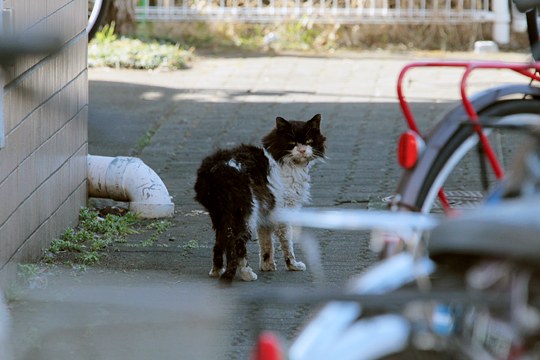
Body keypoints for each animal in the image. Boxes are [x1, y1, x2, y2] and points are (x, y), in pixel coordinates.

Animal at [195, 114, 326, 282]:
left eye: (309, 141)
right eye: (292, 143)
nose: (303, 150)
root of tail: (216, 168)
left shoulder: (266, 213)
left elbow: (266, 242)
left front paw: (267, 265)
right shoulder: (283, 211)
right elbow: (286, 241)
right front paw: (292, 265)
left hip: (221, 215)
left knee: (219, 242)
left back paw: (216, 271)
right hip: (246, 214)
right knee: (238, 244)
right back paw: (247, 274)